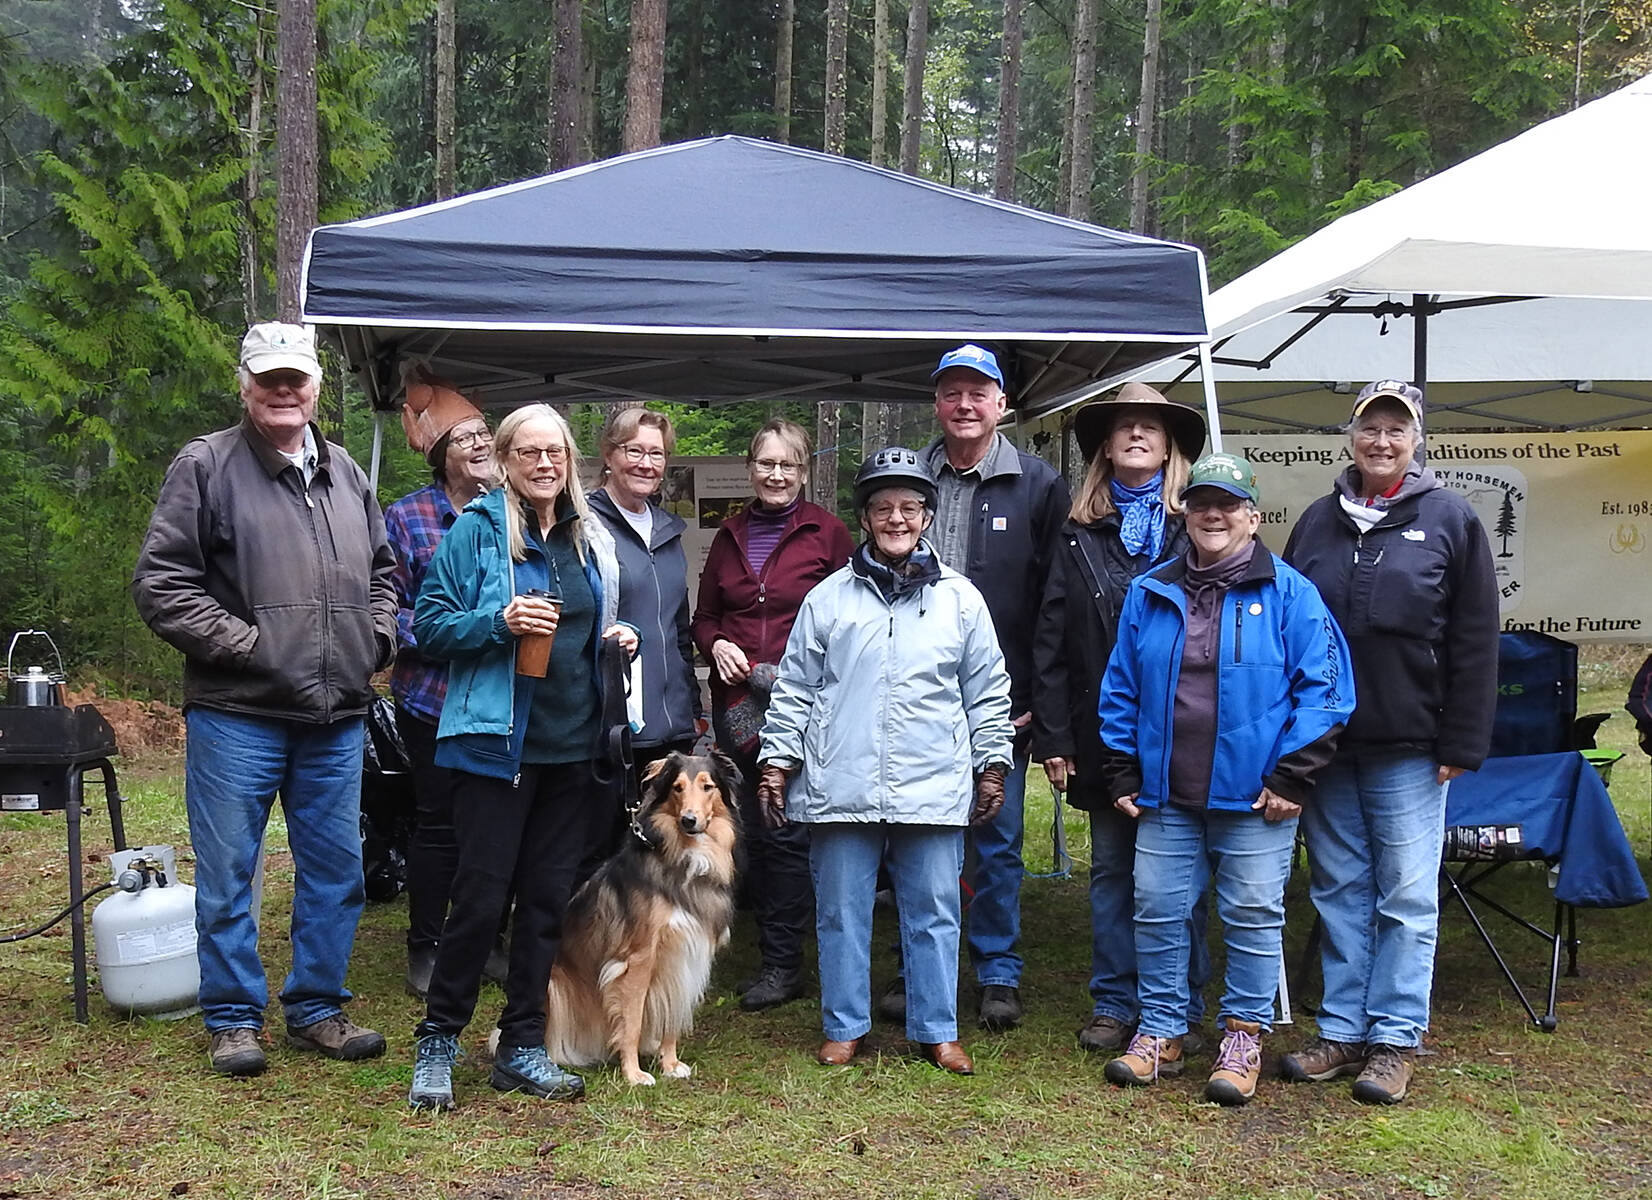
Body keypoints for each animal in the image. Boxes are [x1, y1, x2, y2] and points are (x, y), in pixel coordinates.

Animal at [538, 753, 740, 1090]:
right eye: (677, 787)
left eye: (708, 786)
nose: (688, 820)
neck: (684, 860)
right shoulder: (639, 959)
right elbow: (631, 1022)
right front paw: (633, 1074)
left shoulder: (685, 955)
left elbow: (673, 1013)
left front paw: (670, 1065)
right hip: (555, 987)